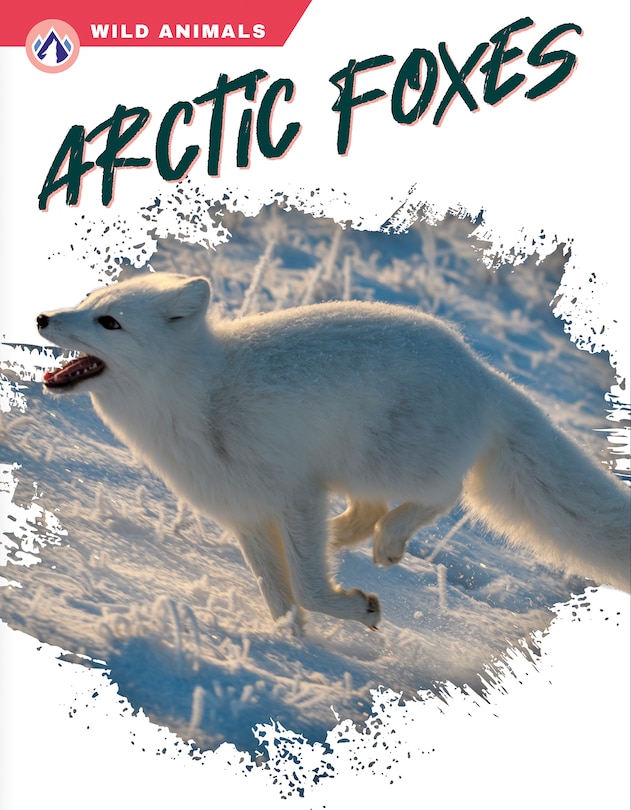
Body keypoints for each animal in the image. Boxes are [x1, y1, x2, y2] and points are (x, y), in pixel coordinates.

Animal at [36, 271, 630, 631]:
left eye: (109, 322)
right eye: (87, 302)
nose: (42, 317)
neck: (200, 398)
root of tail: (484, 372)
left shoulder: (294, 494)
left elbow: (305, 587)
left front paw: (354, 610)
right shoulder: (246, 513)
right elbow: (277, 592)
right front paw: (289, 643)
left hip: (390, 463)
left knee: (443, 495)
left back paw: (386, 543)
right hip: (352, 473)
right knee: (366, 511)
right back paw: (345, 539)